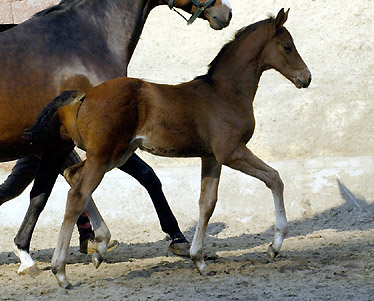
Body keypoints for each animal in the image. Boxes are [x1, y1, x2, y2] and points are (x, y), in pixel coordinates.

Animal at [27, 8, 310, 288]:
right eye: (287, 46)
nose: (306, 78)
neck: (224, 93)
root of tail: (84, 97)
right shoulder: (231, 152)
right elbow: (274, 178)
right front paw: (274, 247)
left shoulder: (211, 157)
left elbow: (207, 203)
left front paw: (199, 260)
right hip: (104, 156)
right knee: (77, 195)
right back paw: (61, 271)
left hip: (115, 156)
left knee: (72, 177)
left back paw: (100, 248)